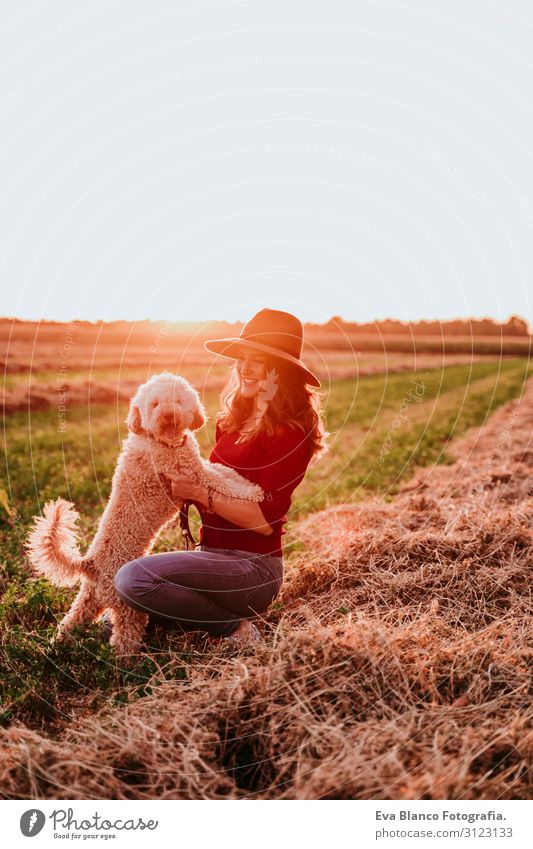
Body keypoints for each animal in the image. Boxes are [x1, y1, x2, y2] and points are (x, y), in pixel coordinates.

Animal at [26, 372, 262, 656]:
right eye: (155, 404)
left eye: (177, 400)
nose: (168, 416)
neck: (162, 442)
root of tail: (91, 563)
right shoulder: (193, 474)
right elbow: (221, 482)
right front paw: (253, 492)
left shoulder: (197, 467)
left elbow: (224, 472)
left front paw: (247, 483)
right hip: (129, 609)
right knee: (123, 642)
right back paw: (130, 665)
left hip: (88, 600)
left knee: (70, 623)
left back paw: (53, 650)